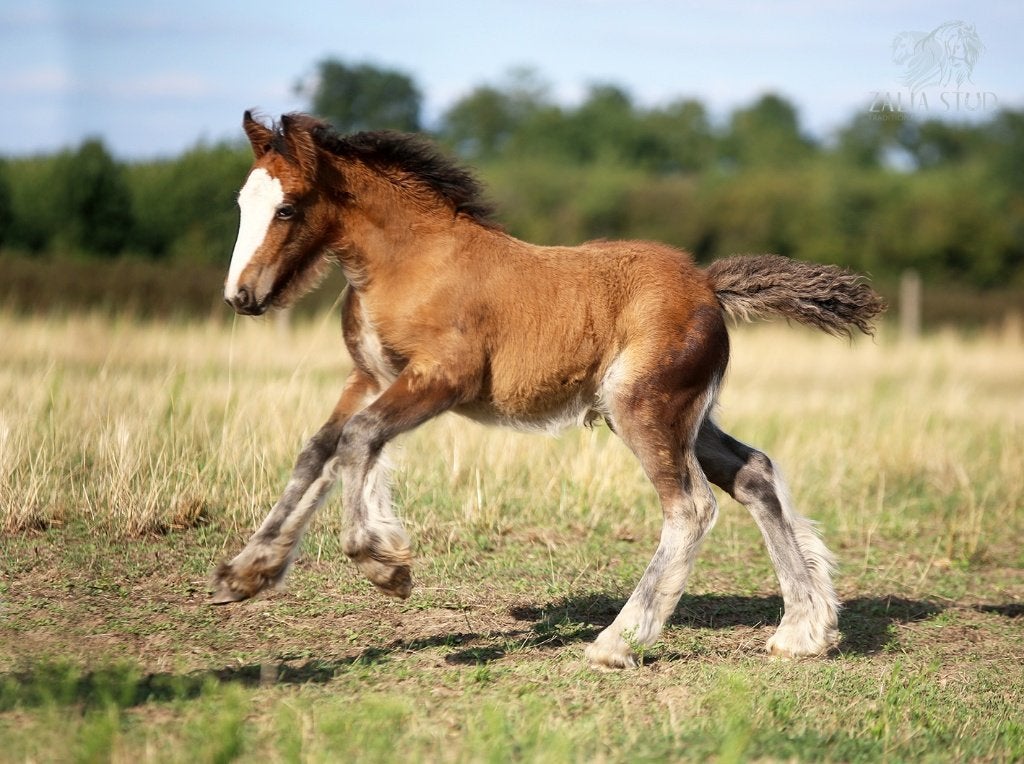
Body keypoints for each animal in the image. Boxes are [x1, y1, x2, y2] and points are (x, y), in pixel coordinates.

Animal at [212, 111, 885, 669]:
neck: (410, 263)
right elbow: (321, 451)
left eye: (288, 209)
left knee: (690, 506)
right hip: (677, 414)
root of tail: (708, 285)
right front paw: (248, 572)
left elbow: (358, 440)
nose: (241, 296)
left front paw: (385, 566)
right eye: (242, 203)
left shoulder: (441, 379)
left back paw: (618, 642)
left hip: (643, 409)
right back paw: (803, 630)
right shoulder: (371, 376)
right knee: (754, 474)